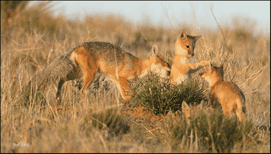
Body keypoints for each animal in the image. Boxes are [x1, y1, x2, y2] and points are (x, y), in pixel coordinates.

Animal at [25, 41, 170, 103]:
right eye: (167, 69)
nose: (170, 77)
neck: (138, 65)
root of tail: (76, 47)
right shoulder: (122, 78)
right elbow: (132, 92)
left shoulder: (117, 80)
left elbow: (125, 95)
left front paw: (126, 102)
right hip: (90, 75)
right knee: (82, 90)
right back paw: (86, 105)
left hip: (79, 74)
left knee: (61, 79)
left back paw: (58, 99)